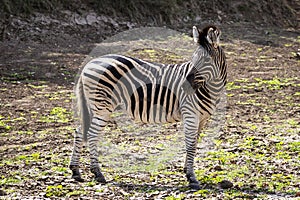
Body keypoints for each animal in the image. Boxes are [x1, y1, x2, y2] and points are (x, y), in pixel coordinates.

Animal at [69, 24, 226, 190]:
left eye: (206, 59)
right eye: (193, 58)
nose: (185, 86)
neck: (210, 88)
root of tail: (90, 63)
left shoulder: (202, 118)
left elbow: (194, 144)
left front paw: (186, 172)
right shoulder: (190, 114)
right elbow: (190, 145)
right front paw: (192, 177)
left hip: (93, 106)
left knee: (80, 131)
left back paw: (75, 171)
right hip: (102, 106)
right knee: (92, 134)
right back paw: (97, 173)